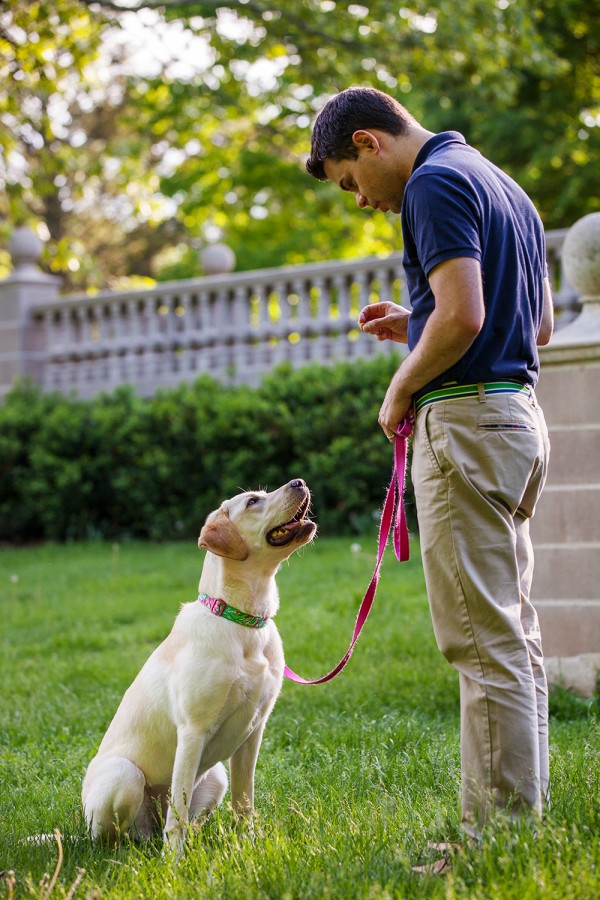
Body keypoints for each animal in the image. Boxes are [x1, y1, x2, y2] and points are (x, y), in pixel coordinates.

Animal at [82, 478, 316, 852]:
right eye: (253, 501)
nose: (299, 481)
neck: (241, 621)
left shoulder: (254, 732)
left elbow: (244, 800)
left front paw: (248, 844)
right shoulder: (193, 731)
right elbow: (177, 811)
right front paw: (174, 862)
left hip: (216, 776)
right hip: (124, 775)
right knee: (121, 836)